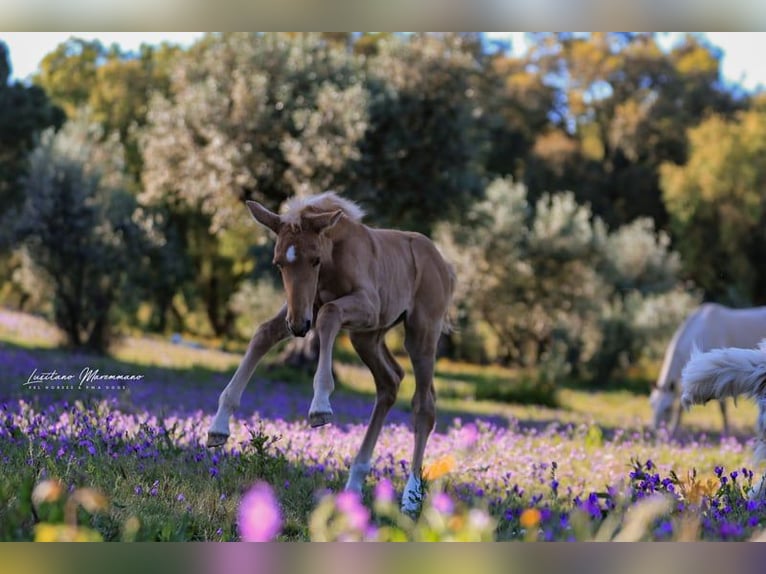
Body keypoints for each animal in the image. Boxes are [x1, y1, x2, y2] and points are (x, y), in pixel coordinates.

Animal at [206, 194, 456, 512]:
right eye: (278, 264)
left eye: (314, 260)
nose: (299, 327)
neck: (334, 258)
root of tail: (443, 264)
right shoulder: (305, 307)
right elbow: (264, 333)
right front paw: (218, 428)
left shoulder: (365, 305)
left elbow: (329, 314)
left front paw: (320, 405)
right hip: (367, 336)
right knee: (390, 381)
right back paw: (354, 484)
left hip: (420, 332)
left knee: (423, 405)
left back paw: (411, 497)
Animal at [652, 306, 766, 436]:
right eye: (652, 405)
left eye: (667, 408)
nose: (656, 431)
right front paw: (674, 429)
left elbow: (722, 408)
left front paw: (727, 432)